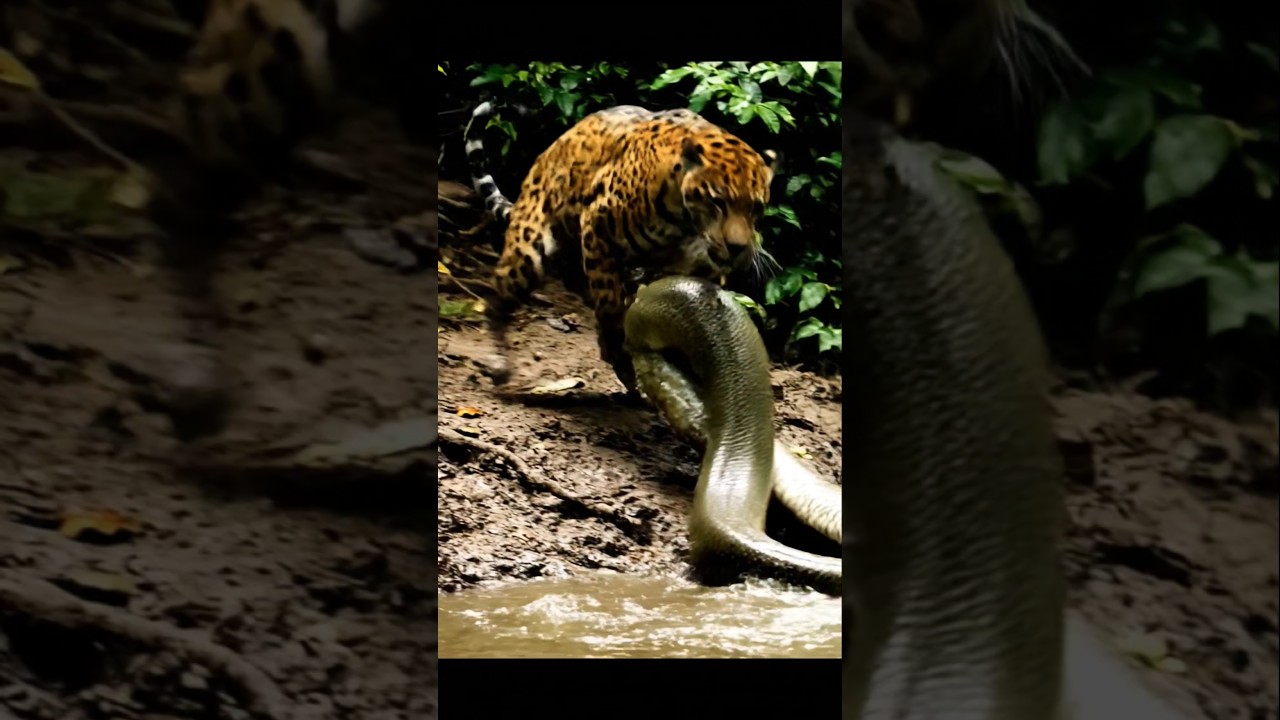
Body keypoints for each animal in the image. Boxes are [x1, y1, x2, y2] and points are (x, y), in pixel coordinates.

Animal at [462, 102, 781, 394]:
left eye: (756, 207)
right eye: (718, 201)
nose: (737, 247)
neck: (687, 225)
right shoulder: (598, 226)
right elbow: (610, 302)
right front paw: (617, 353)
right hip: (529, 252)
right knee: (497, 301)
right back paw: (501, 365)